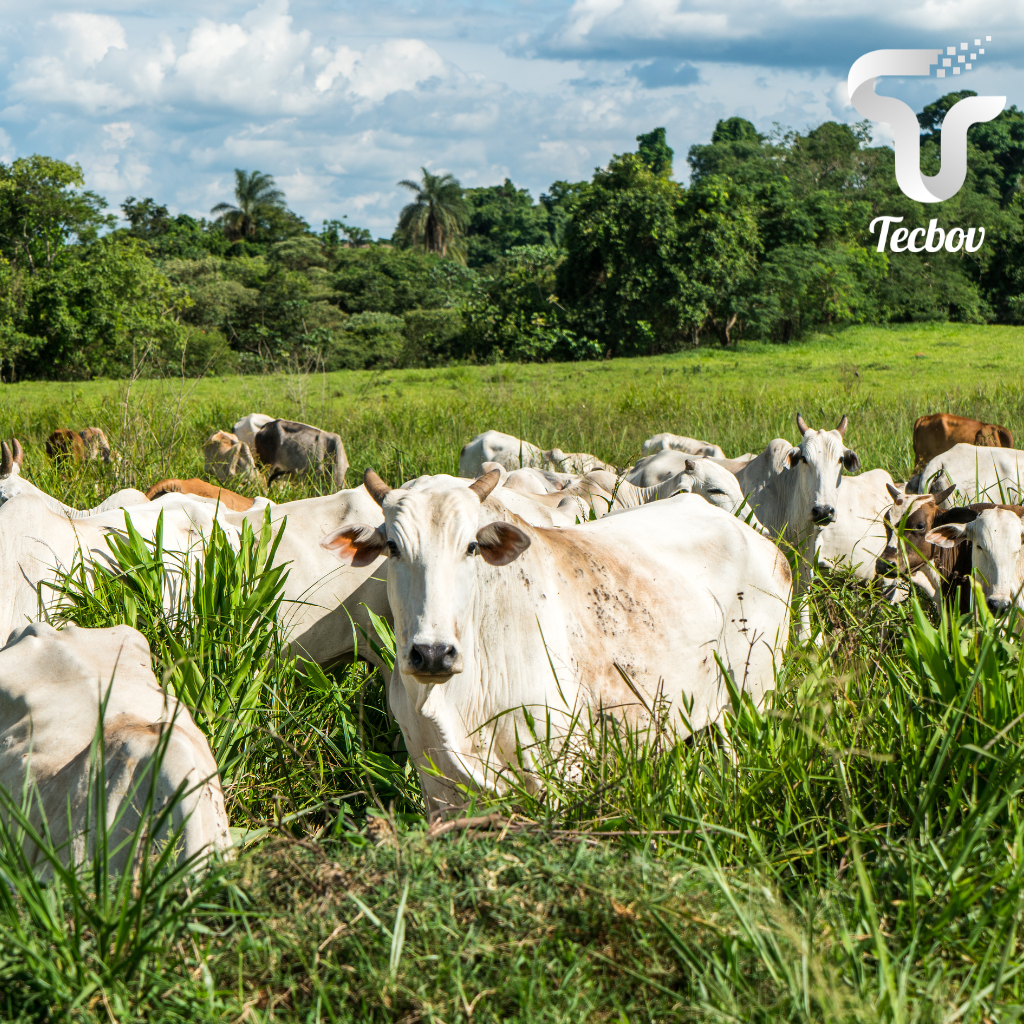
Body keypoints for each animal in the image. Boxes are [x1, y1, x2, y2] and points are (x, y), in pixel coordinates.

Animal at [323, 471, 786, 815]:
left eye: (471, 546)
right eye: (392, 546)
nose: (433, 653)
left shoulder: (558, 771)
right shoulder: (436, 783)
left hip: (753, 702)